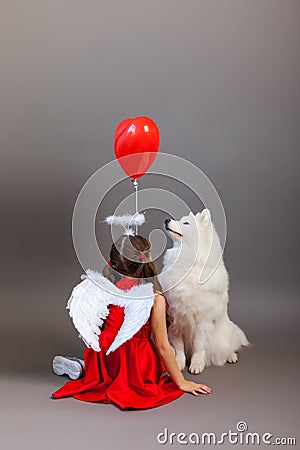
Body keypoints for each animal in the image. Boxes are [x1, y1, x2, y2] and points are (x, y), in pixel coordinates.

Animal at [159, 209, 251, 374]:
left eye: (186, 223)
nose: (166, 219)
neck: (189, 263)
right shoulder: (174, 318)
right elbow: (178, 346)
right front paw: (178, 363)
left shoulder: (202, 320)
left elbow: (198, 345)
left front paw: (196, 364)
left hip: (225, 334)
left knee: (229, 346)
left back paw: (231, 356)